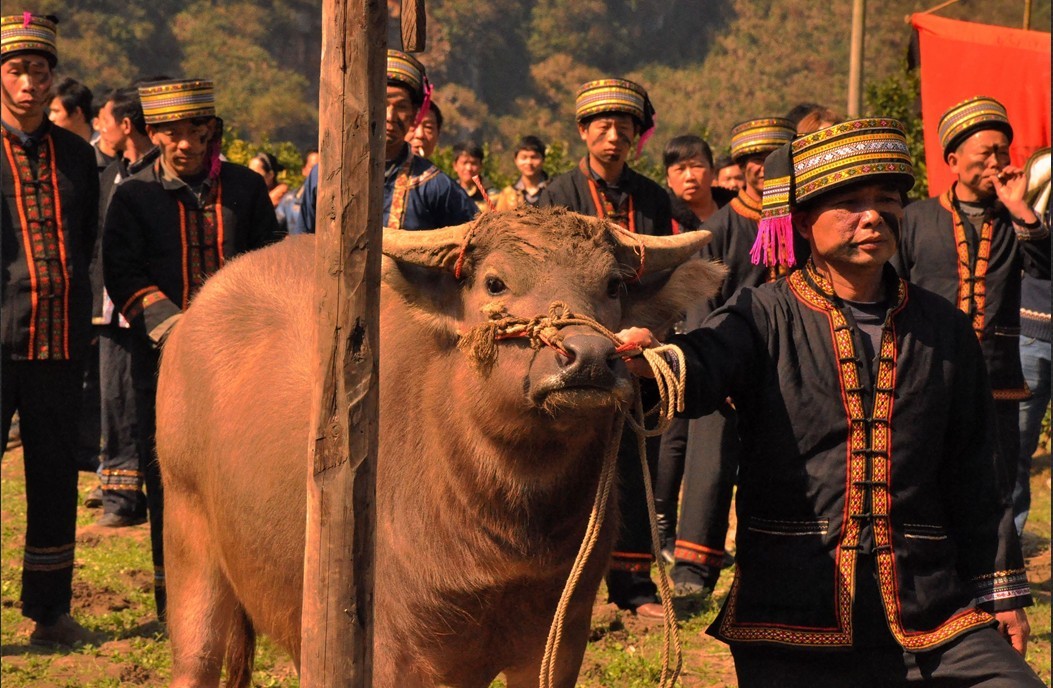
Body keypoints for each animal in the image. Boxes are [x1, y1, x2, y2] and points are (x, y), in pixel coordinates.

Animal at [155, 206, 724, 682]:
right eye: (495, 282)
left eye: (611, 285)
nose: (587, 358)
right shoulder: (394, 652)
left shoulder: (560, 636)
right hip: (188, 537)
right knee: (197, 656)